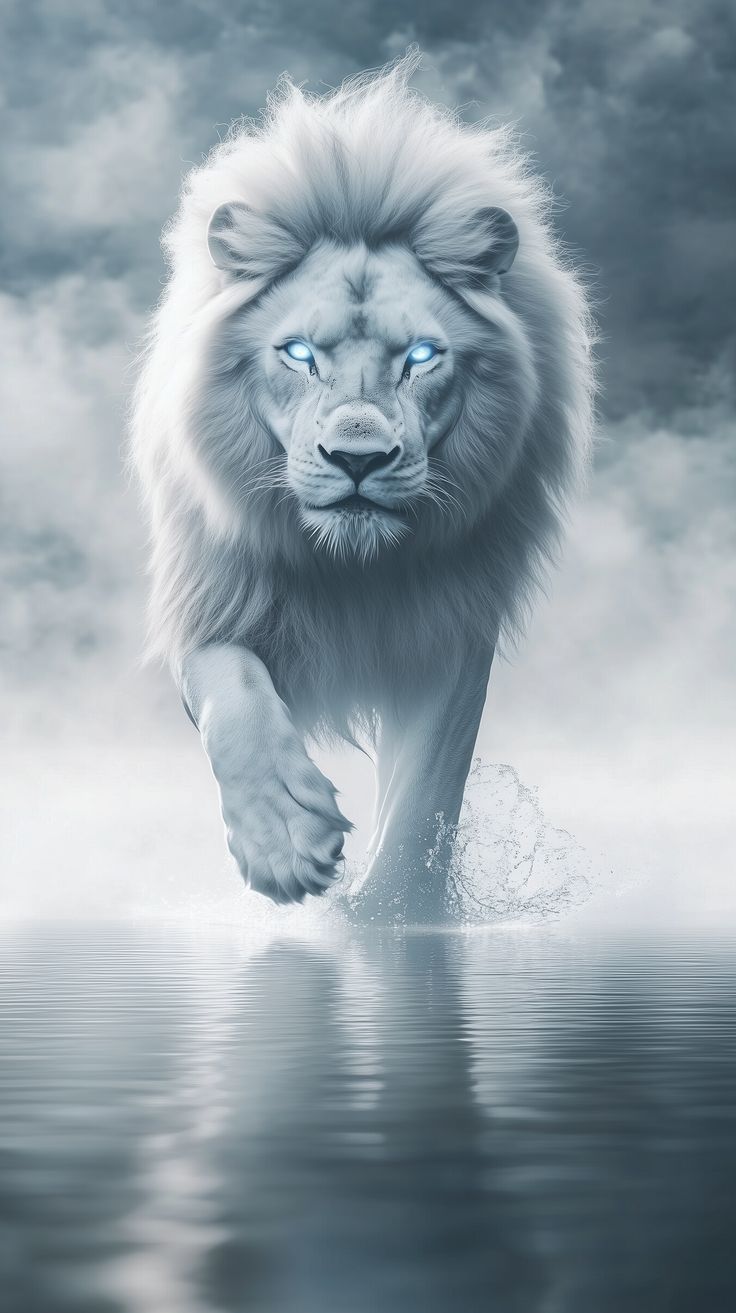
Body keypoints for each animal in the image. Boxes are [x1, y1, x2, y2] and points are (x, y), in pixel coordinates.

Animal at [130, 51, 596, 922]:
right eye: (299, 353)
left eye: (421, 356)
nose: (358, 458)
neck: (354, 567)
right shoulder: (211, 593)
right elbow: (234, 693)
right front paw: (285, 840)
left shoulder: (451, 633)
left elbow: (422, 799)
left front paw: (390, 915)